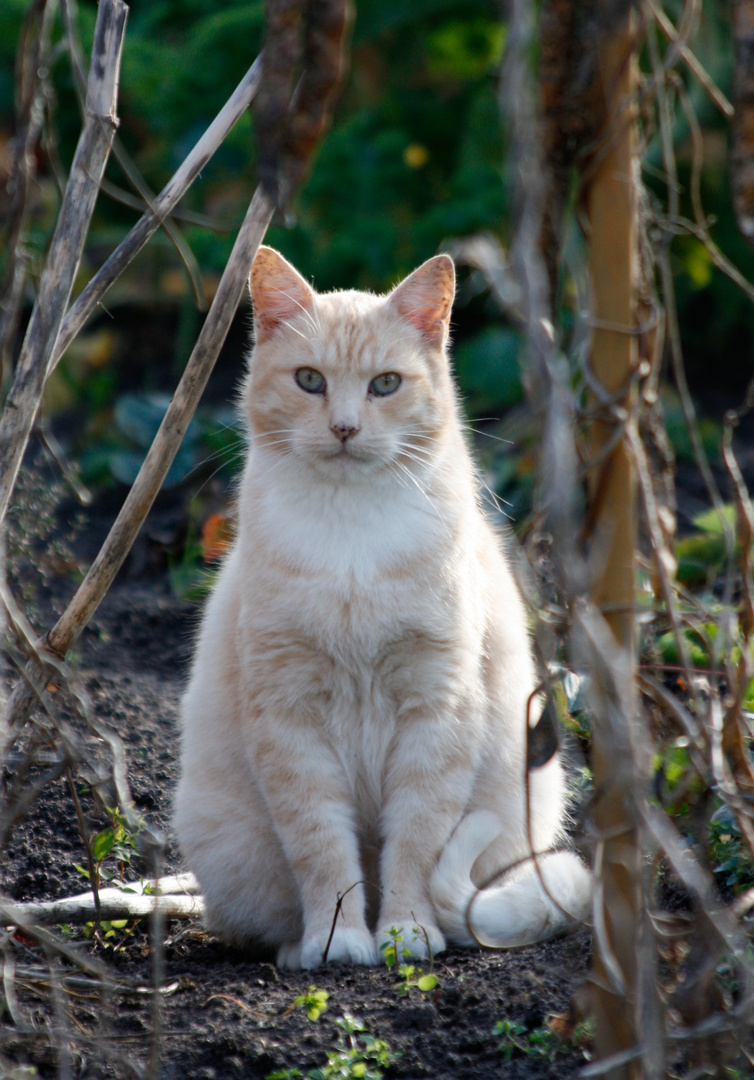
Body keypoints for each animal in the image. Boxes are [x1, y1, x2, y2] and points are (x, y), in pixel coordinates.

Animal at [172, 247, 591, 972]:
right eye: (310, 380)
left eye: (386, 385)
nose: (344, 428)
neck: (352, 537)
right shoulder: (290, 717)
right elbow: (322, 849)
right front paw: (338, 941)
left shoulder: (437, 707)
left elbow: (415, 842)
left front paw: (402, 934)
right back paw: (297, 950)